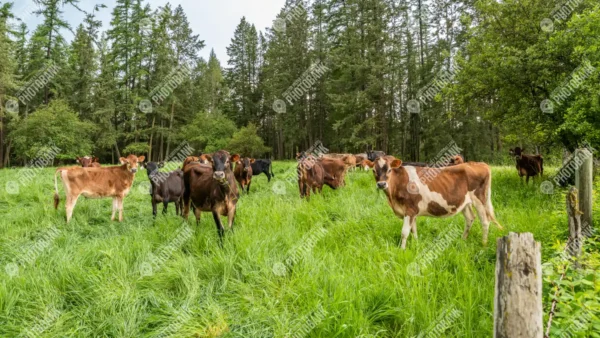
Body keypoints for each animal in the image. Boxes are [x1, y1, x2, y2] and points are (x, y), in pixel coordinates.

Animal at [370, 157, 502, 250]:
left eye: (389, 170)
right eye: (374, 171)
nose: (381, 184)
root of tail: (479, 163)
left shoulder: (409, 210)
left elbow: (404, 232)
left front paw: (402, 250)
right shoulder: (413, 211)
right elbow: (414, 230)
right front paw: (416, 244)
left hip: (479, 200)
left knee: (485, 221)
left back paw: (483, 244)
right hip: (464, 202)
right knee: (470, 218)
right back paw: (463, 240)